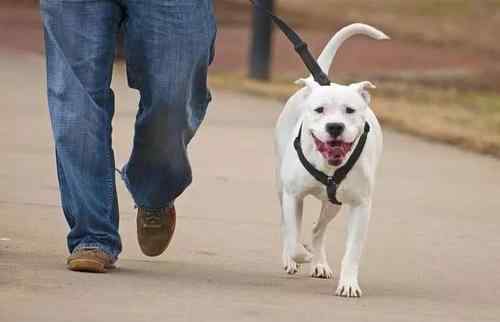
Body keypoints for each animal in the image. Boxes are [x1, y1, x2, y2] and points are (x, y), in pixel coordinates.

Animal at [276, 23, 388, 298]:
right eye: (319, 110)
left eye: (350, 110)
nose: (335, 126)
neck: (328, 165)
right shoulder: (293, 196)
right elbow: (292, 238)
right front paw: (299, 255)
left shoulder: (360, 207)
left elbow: (353, 252)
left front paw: (348, 283)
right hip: (282, 189)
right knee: (288, 227)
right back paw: (294, 259)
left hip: (333, 204)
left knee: (318, 229)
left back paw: (319, 263)